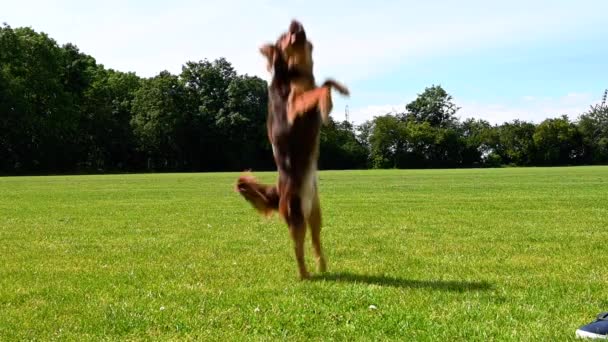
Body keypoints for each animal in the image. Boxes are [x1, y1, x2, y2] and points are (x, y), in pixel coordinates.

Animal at [238, 20, 352, 280]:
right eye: (283, 36)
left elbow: (326, 83)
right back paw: (304, 275)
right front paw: (327, 102)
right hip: (296, 216)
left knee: (315, 242)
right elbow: (321, 88)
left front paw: (339, 90)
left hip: (315, 215)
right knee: (297, 248)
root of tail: (277, 192)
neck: (295, 70)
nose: (294, 21)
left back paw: (322, 267)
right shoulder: (294, 107)